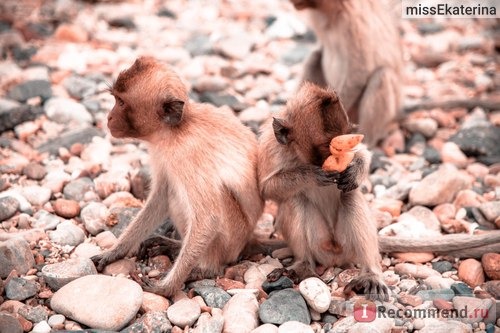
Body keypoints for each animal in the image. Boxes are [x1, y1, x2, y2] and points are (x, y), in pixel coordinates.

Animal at [91, 57, 264, 296]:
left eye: (122, 103)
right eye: (115, 99)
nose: (108, 117)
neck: (174, 131)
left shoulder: (187, 155)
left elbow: (209, 218)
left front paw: (165, 288)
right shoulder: (162, 153)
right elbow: (161, 198)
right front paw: (114, 252)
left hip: (232, 242)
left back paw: (205, 268)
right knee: (173, 195)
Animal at [258, 81, 390, 300]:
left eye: (344, 141)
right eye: (327, 146)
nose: (340, 156)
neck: (298, 156)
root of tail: (333, 257)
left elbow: (362, 154)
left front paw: (355, 170)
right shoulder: (272, 148)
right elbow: (267, 189)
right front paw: (311, 175)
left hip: (346, 247)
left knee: (350, 195)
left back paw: (370, 274)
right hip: (320, 244)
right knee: (295, 199)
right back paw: (302, 265)